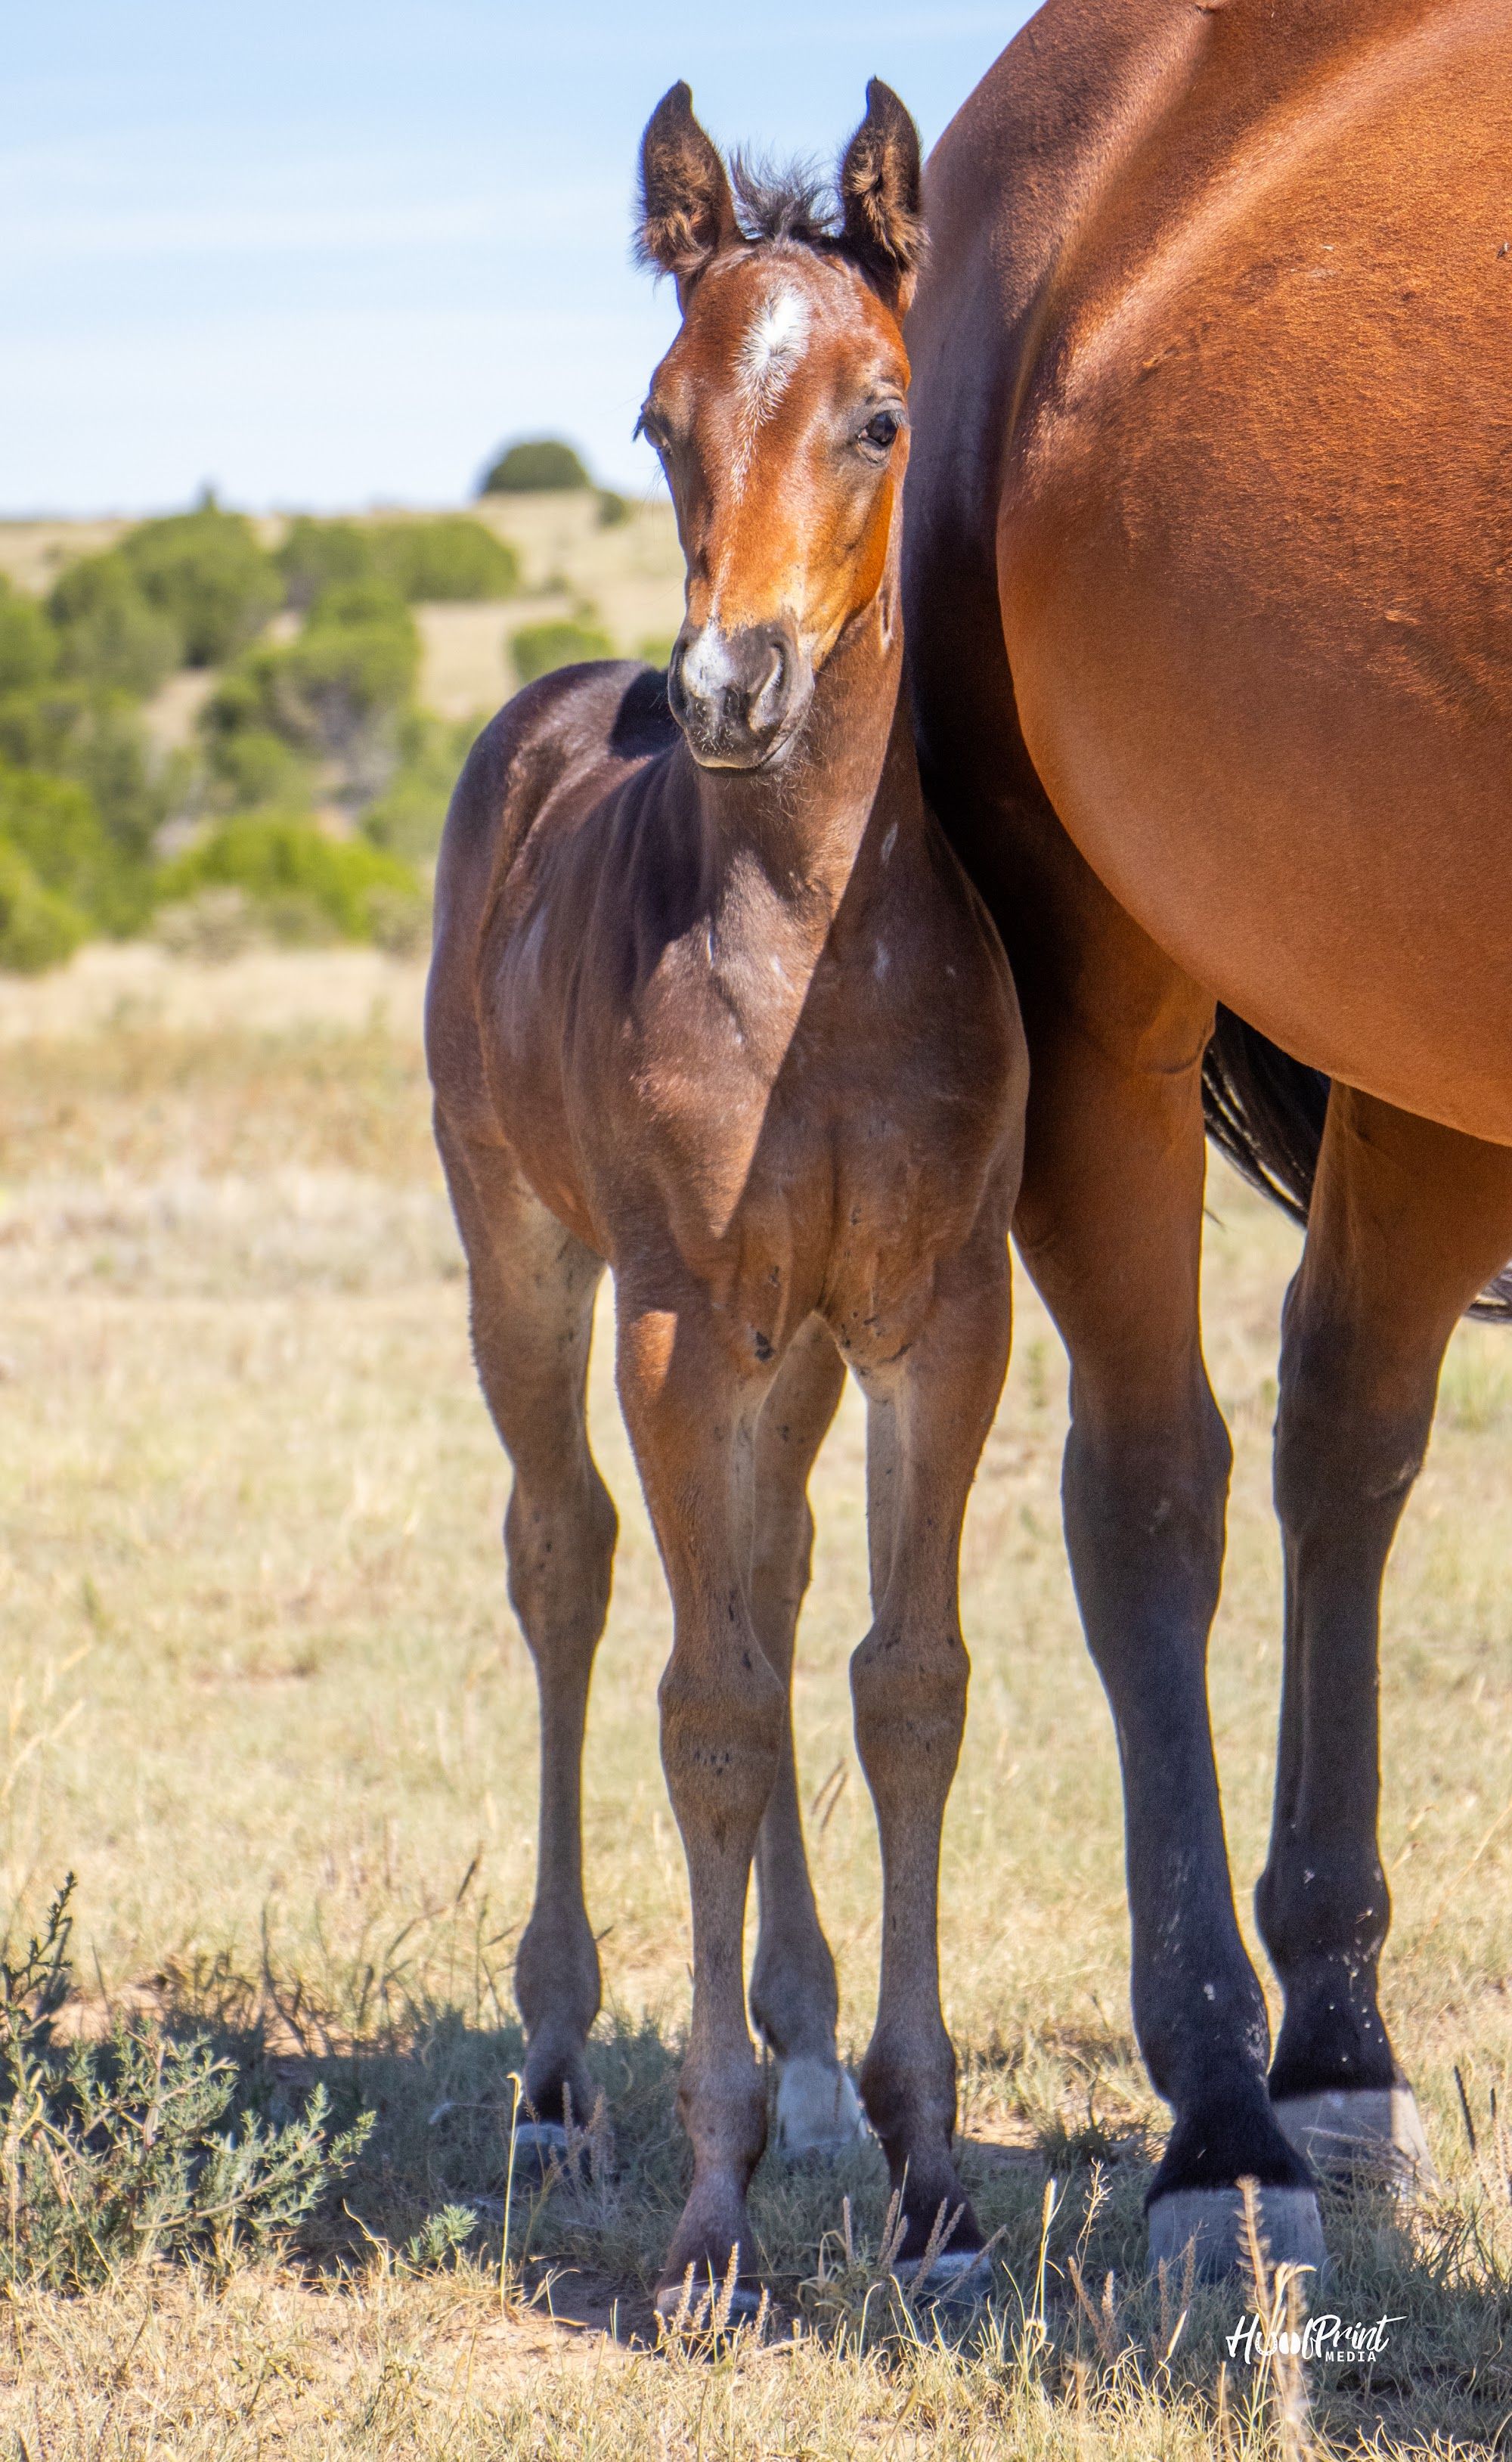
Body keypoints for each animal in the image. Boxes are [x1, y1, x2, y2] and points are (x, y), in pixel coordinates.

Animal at [426, 81, 1026, 2317]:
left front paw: (931, 2176)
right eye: (657, 415)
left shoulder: (938, 1311)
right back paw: (554, 2070)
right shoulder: (685, 1315)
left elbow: (895, 1687)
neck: (811, 961)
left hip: (795, 1348)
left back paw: (807, 2039)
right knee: (572, 1564)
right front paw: (711, 2223)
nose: (728, 691)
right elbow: (708, 1715)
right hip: (522, 1253)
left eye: (878, 413)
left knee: (764, 1591)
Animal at [903, 0, 1512, 2277]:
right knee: (1149, 1485)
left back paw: (1337, 2050)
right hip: (1091, 978)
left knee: (1348, 1429)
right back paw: (1226, 2122)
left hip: (1411, 1017)